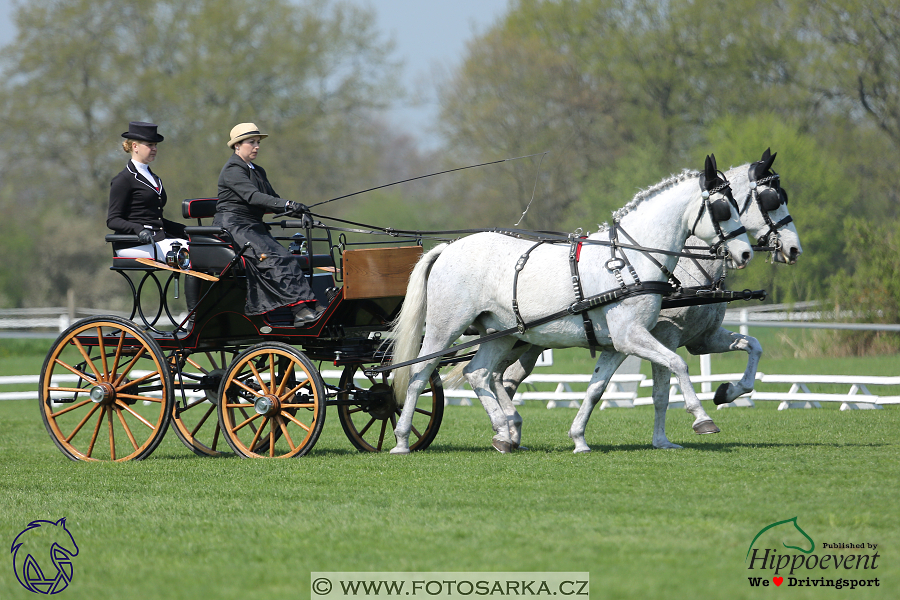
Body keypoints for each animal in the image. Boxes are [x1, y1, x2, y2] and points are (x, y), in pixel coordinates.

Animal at [386, 155, 752, 454]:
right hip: (444, 328)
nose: (746, 252)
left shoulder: (618, 344)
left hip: (502, 333)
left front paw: (579, 439)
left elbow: (596, 388)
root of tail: (447, 248)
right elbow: (679, 364)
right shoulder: (632, 336)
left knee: (479, 374)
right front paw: (702, 418)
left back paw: (503, 434)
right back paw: (402, 439)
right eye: (723, 208)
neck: (629, 260)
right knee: (419, 373)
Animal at [488, 148, 804, 452]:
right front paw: (694, 422)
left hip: (527, 344)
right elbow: (663, 388)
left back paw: (510, 432)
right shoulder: (664, 335)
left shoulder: (702, 339)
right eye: (772, 200)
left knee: (501, 378)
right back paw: (507, 431)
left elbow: (753, 346)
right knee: (495, 377)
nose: (793, 249)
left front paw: (727, 392)